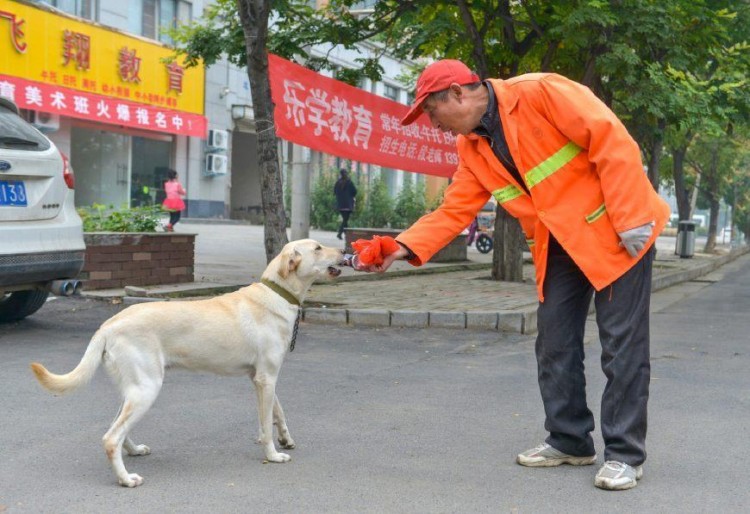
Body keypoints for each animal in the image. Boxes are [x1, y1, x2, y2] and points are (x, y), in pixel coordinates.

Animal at [30, 238, 344, 486]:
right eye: (318, 247)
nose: (343, 249)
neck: (277, 293)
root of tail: (108, 324)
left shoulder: (260, 378)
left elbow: (276, 413)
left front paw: (285, 439)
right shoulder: (266, 377)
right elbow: (267, 423)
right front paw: (273, 454)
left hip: (134, 389)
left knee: (116, 428)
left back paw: (133, 450)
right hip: (147, 388)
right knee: (110, 437)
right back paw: (126, 479)